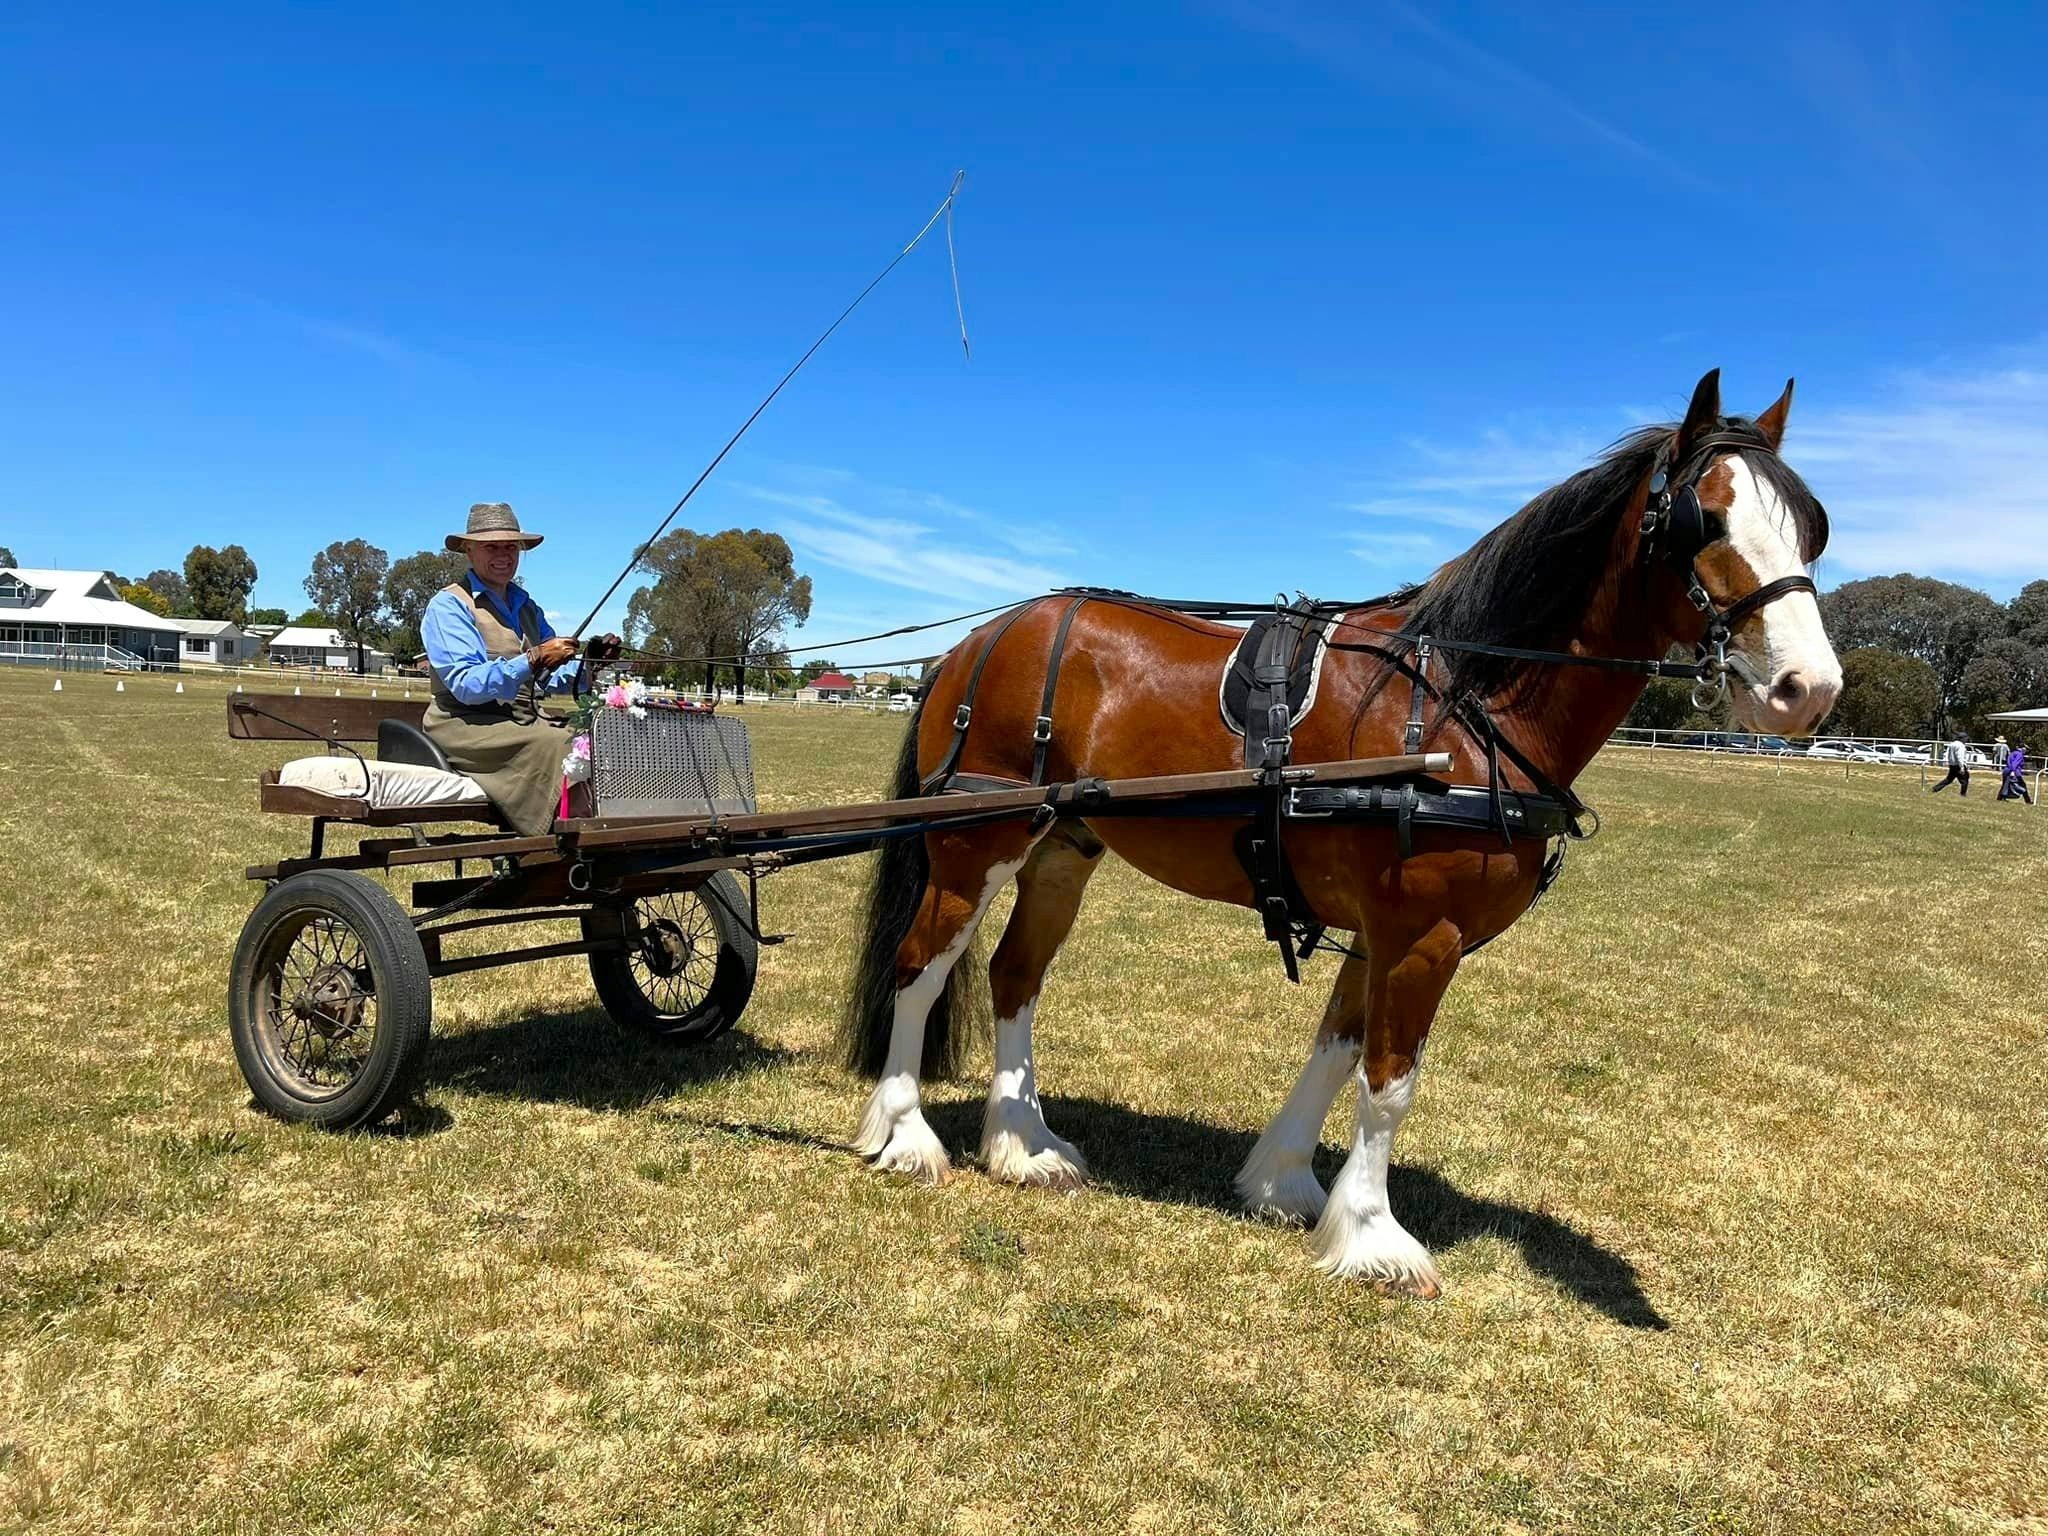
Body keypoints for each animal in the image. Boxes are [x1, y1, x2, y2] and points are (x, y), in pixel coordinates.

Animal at [837, 369, 1840, 1295]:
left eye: (1812, 529)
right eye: (1704, 520)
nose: (1811, 690)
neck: (1464, 704)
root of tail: (978, 641)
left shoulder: (1381, 931)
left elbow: (1339, 1048)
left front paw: (1284, 1184)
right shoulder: (1423, 933)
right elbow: (1390, 1081)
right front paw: (1374, 1236)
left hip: (1060, 848)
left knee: (1015, 977)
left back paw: (1022, 1143)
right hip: (976, 841)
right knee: (921, 968)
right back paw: (906, 1136)